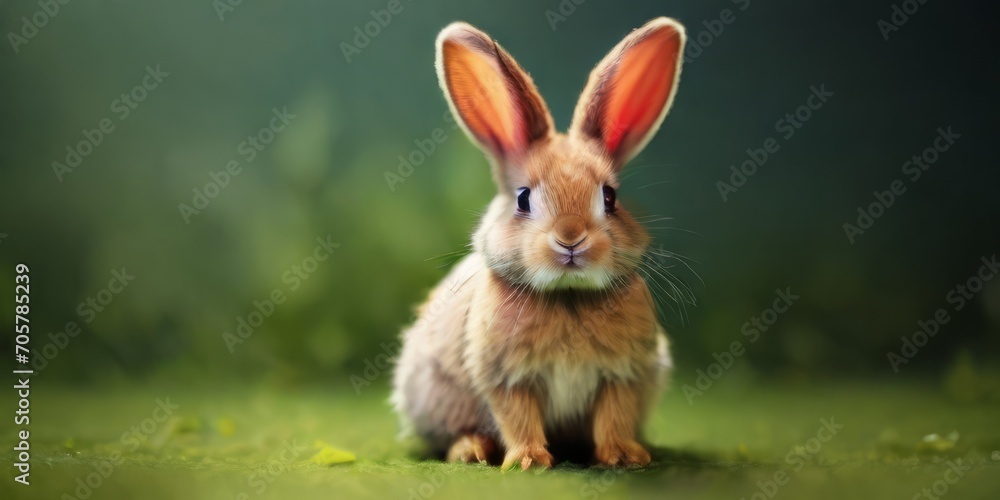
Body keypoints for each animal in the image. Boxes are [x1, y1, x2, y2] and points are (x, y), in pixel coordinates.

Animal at [392, 17, 687, 470]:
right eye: (523, 198)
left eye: (610, 197)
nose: (570, 238)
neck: (567, 296)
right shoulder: (506, 379)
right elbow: (518, 418)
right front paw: (528, 461)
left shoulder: (623, 375)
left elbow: (613, 416)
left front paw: (623, 457)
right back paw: (471, 450)